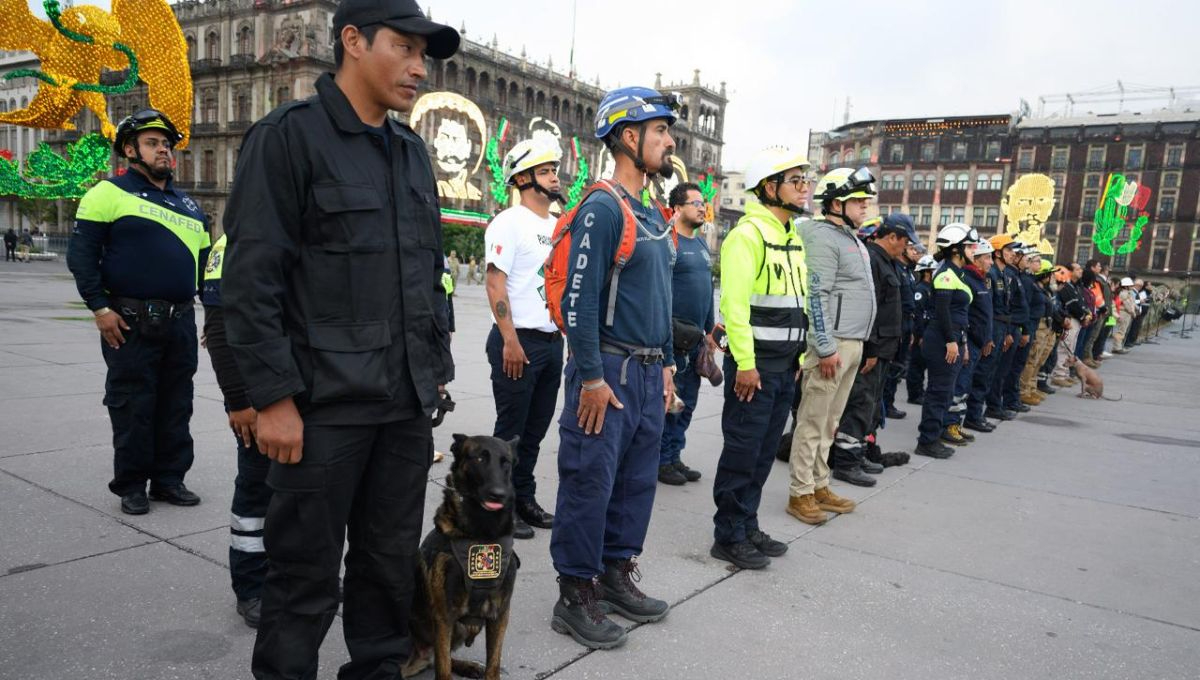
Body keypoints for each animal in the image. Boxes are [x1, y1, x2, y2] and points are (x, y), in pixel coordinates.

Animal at [405, 436, 518, 680]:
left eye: (506, 462)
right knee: (437, 659)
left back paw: (468, 666)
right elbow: (443, 668)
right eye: (479, 458)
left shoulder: (500, 614)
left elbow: (493, 663)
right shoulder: (444, 616)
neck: (481, 534)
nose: (498, 494)